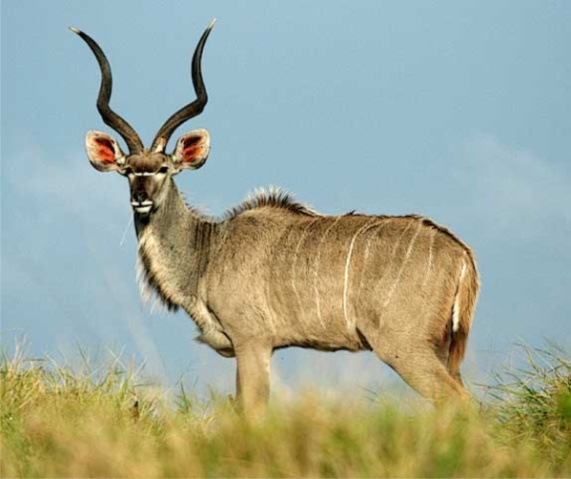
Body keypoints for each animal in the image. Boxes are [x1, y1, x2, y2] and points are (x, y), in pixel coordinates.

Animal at [73, 21, 480, 416]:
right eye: (128, 170)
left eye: (163, 169)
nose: (140, 198)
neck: (207, 252)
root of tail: (461, 255)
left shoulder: (252, 340)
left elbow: (252, 409)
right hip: (441, 350)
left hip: (403, 347)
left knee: (460, 402)